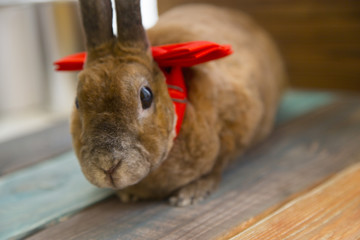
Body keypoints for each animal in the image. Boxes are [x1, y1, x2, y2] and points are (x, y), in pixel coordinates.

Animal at [72, 0, 286, 206]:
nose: (107, 166)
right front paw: (128, 194)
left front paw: (191, 194)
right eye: (77, 102)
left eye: (146, 96)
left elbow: (218, 166)